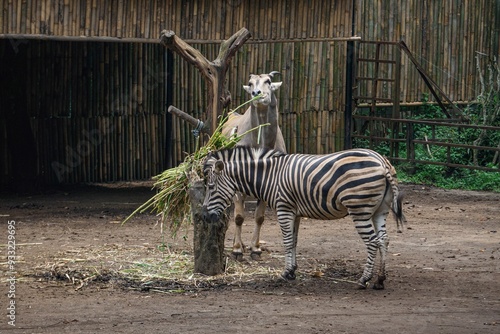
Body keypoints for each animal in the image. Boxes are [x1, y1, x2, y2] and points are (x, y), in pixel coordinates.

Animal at [201, 146, 404, 290]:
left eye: (210, 188)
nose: (205, 216)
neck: (271, 176)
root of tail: (382, 161)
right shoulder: (295, 212)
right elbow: (294, 240)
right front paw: (292, 271)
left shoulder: (284, 208)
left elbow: (287, 241)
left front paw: (285, 273)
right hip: (380, 210)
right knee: (384, 240)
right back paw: (380, 280)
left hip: (359, 209)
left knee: (372, 242)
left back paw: (364, 279)